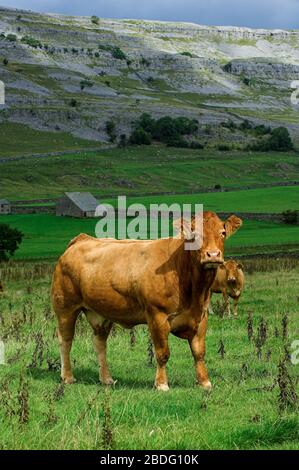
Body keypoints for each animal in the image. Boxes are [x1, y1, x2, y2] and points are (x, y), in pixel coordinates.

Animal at [51, 211, 243, 392]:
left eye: (223, 233)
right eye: (194, 235)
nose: (212, 255)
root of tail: (82, 239)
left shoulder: (201, 317)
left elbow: (199, 352)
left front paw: (204, 382)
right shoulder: (157, 316)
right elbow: (162, 353)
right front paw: (161, 384)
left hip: (100, 313)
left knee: (99, 343)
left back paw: (106, 379)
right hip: (65, 308)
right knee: (65, 340)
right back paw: (67, 377)